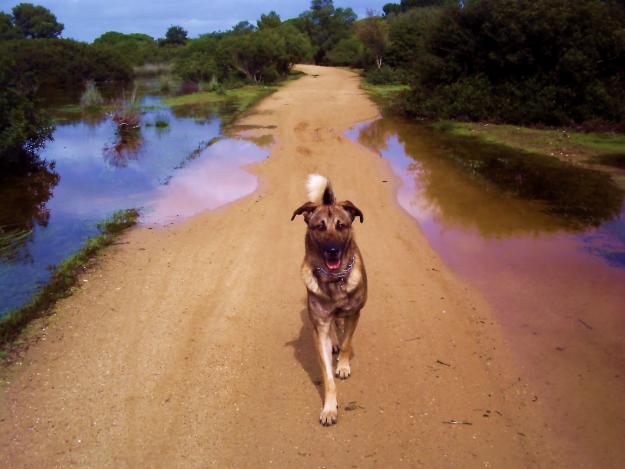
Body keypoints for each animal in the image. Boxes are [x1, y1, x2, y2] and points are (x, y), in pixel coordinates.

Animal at [292, 175, 366, 424]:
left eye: (341, 225)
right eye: (320, 227)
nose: (333, 250)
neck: (334, 280)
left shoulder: (354, 314)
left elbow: (347, 343)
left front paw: (342, 365)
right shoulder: (320, 328)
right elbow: (327, 377)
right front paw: (330, 407)